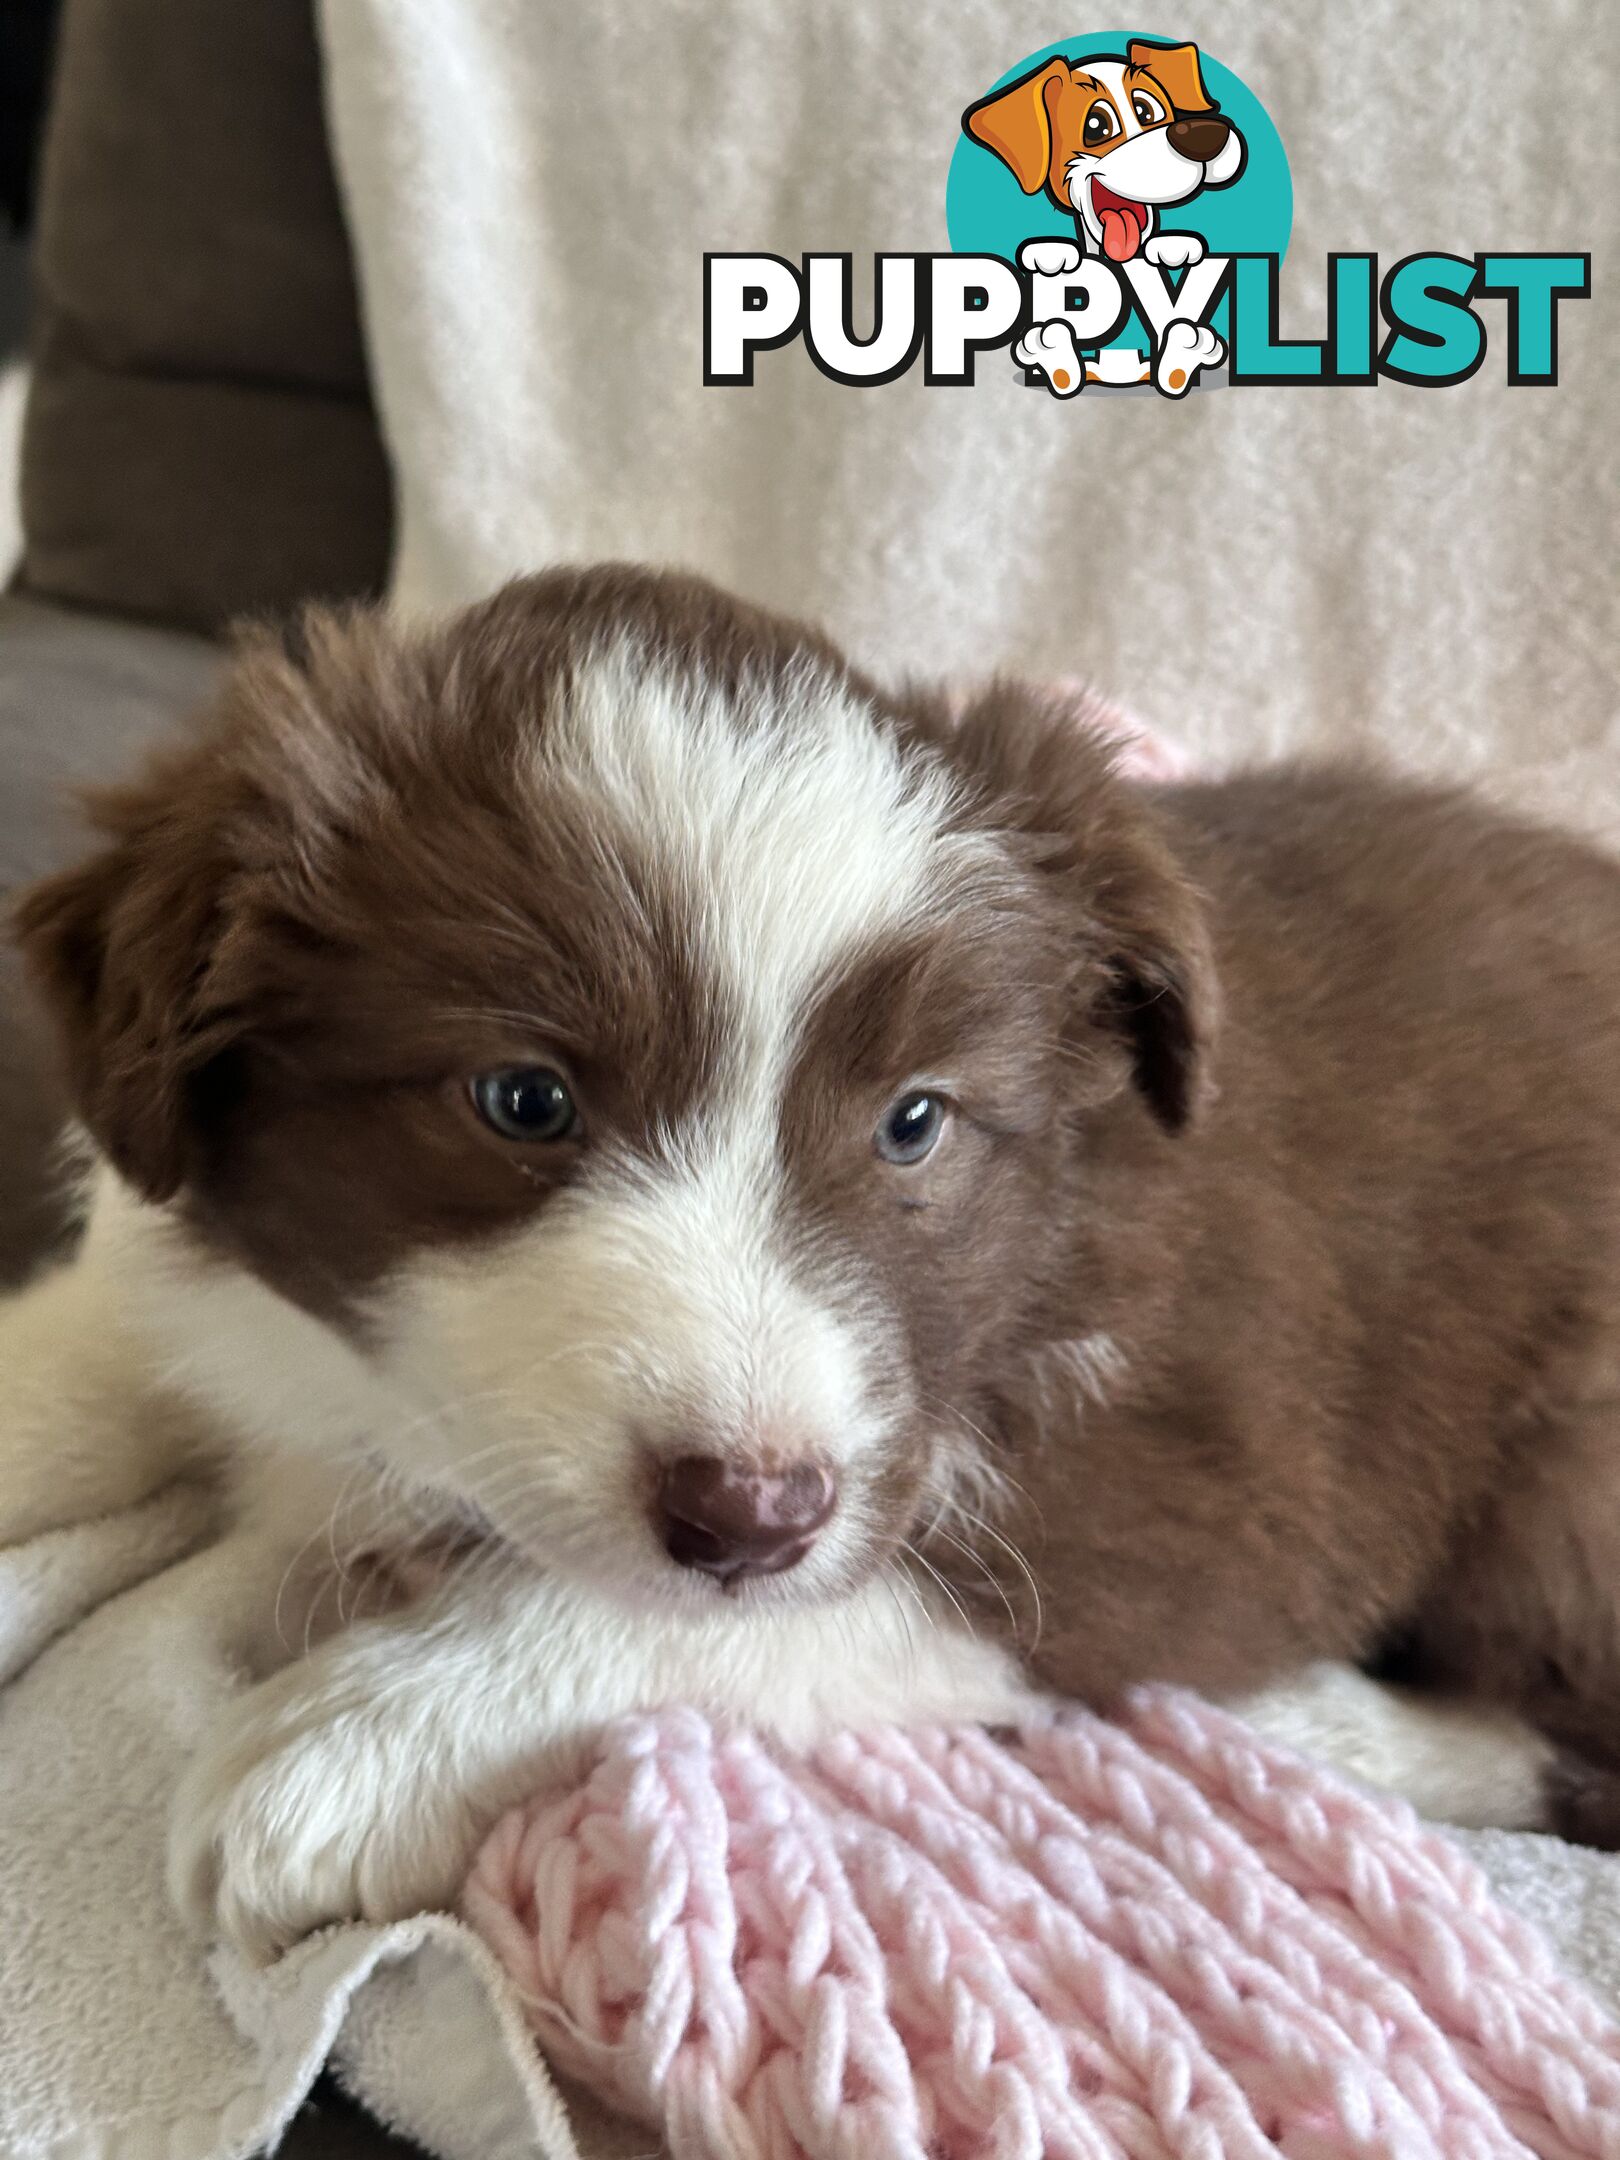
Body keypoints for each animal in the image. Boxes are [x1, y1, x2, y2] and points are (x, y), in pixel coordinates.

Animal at [6, 565, 1615, 1969]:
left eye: (914, 1121)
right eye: (523, 1099)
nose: (753, 1515)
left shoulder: (1192, 1477)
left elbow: (760, 1611)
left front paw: (348, 1745)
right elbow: (116, 1348)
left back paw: (1305, 1727)